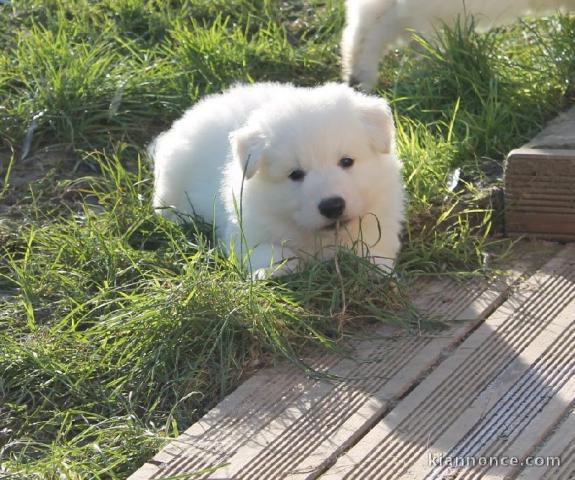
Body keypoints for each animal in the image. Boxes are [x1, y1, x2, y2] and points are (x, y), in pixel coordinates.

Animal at [152, 82, 404, 278]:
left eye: (347, 161)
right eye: (295, 174)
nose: (332, 206)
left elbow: (371, 249)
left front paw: (378, 269)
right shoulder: (243, 235)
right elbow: (274, 253)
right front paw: (277, 268)